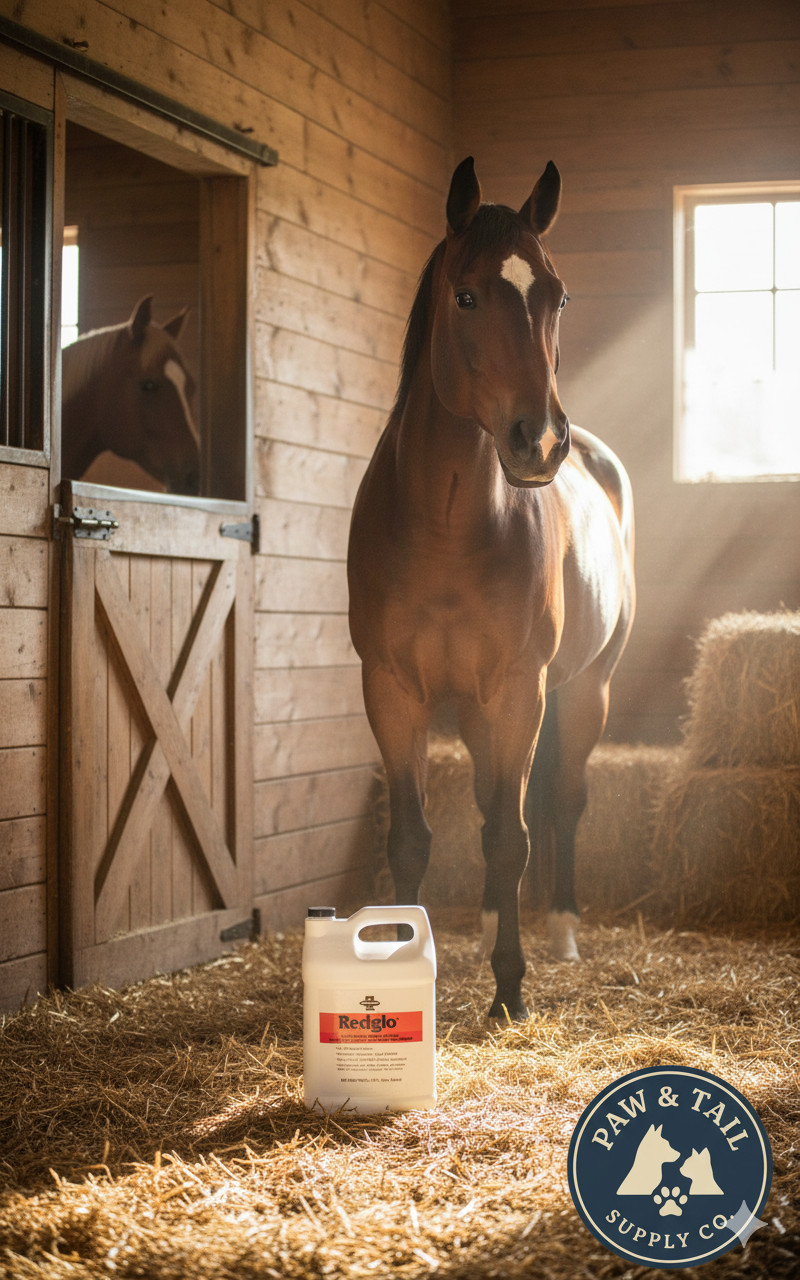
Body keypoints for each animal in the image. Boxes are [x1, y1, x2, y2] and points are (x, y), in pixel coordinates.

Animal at [347, 156, 635, 1021]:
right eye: (467, 295)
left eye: (558, 296)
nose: (538, 441)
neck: (446, 528)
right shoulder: (393, 691)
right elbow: (413, 838)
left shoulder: (518, 691)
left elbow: (513, 836)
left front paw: (511, 989)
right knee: (488, 804)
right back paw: (478, 929)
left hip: (584, 690)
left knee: (562, 802)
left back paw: (562, 932)